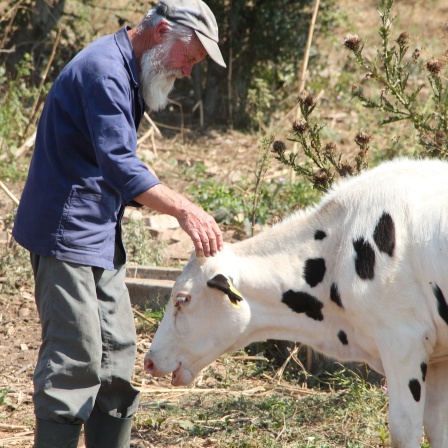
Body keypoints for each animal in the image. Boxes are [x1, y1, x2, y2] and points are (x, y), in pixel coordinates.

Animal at [144, 158, 448, 448]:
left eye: (182, 299)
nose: (148, 361)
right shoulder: (437, 356)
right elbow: (437, 429)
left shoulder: (403, 340)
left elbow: (404, 431)